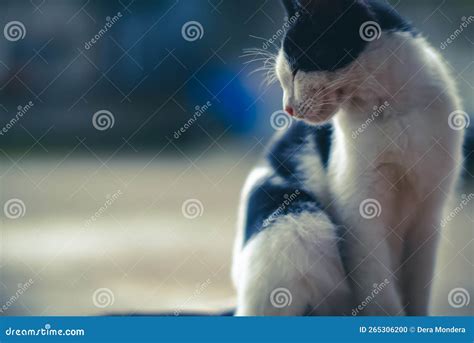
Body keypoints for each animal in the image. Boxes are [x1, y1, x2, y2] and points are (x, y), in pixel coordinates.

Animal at [231, 0, 464, 318]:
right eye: (282, 79)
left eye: (296, 71)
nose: (288, 108)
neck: (391, 112)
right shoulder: (360, 218)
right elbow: (380, 295)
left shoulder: (427, 217)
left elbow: (417, 292)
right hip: (301, 223)